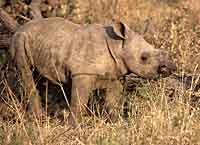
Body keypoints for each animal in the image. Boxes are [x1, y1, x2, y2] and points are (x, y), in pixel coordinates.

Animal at [9, 17, 176, 125]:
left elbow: (113, 101)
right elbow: (79, 102)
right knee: (25, 72)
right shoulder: (82, 73)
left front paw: (117, 123)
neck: (117, 45)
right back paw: (38, 119)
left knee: (38, 75)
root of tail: (21, 27)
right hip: (19, 38)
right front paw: (73, 127)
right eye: (143, 58)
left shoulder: (116, 74)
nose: (170, 68)